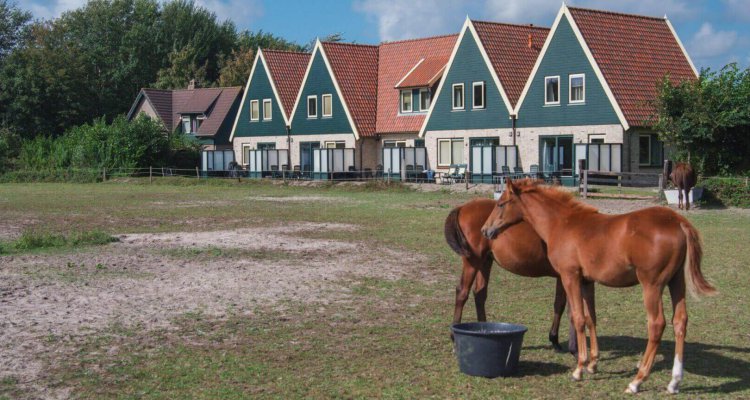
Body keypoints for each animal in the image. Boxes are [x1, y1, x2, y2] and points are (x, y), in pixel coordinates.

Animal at [446, 198, 580, 352]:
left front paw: (555, 340)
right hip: (472, 261)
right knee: (462, 292)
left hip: (485, 261)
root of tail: (462, 207)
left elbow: (559, 304)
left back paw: (484, 329)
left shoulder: (561, 277)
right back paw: (454, 337)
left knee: (479, 293)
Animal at [484, 180, 720, 394]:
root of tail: (677, 220)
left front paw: (579, 368)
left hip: (652, 284)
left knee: (656, 324)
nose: (486, 230)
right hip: (676, 281)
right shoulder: (587, 281)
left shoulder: (570, 277)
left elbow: (578, 318)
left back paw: (637, 381)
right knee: (680, 322)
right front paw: (593, 364)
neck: (563, 224)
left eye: (501, 204)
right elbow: (591, 319)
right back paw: (674, 382)